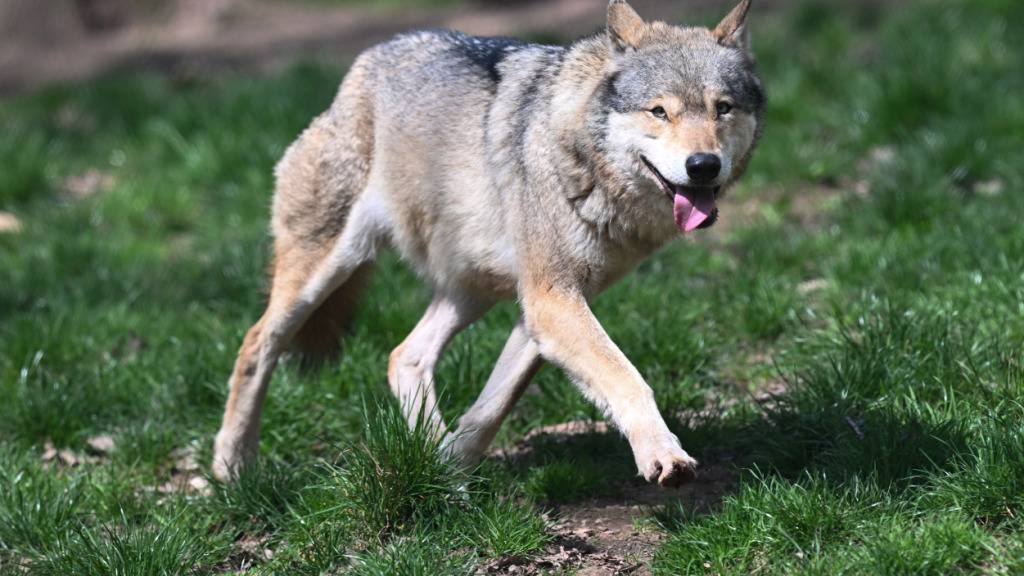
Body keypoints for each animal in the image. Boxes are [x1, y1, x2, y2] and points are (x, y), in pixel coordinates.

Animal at [213, 0, 765, 487]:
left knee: (404, 355)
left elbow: (492, 409)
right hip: (325, 272)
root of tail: (365, 63)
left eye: (722, 109)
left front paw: (449, 473)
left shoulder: (544, 309)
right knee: (256, 343)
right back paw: (232, 467)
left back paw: (429, 455)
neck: (581, 158)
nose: (703, 165)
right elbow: (627, 378)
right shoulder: (552, 302)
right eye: (659, 112)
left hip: (474, 289)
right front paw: (663, 455)